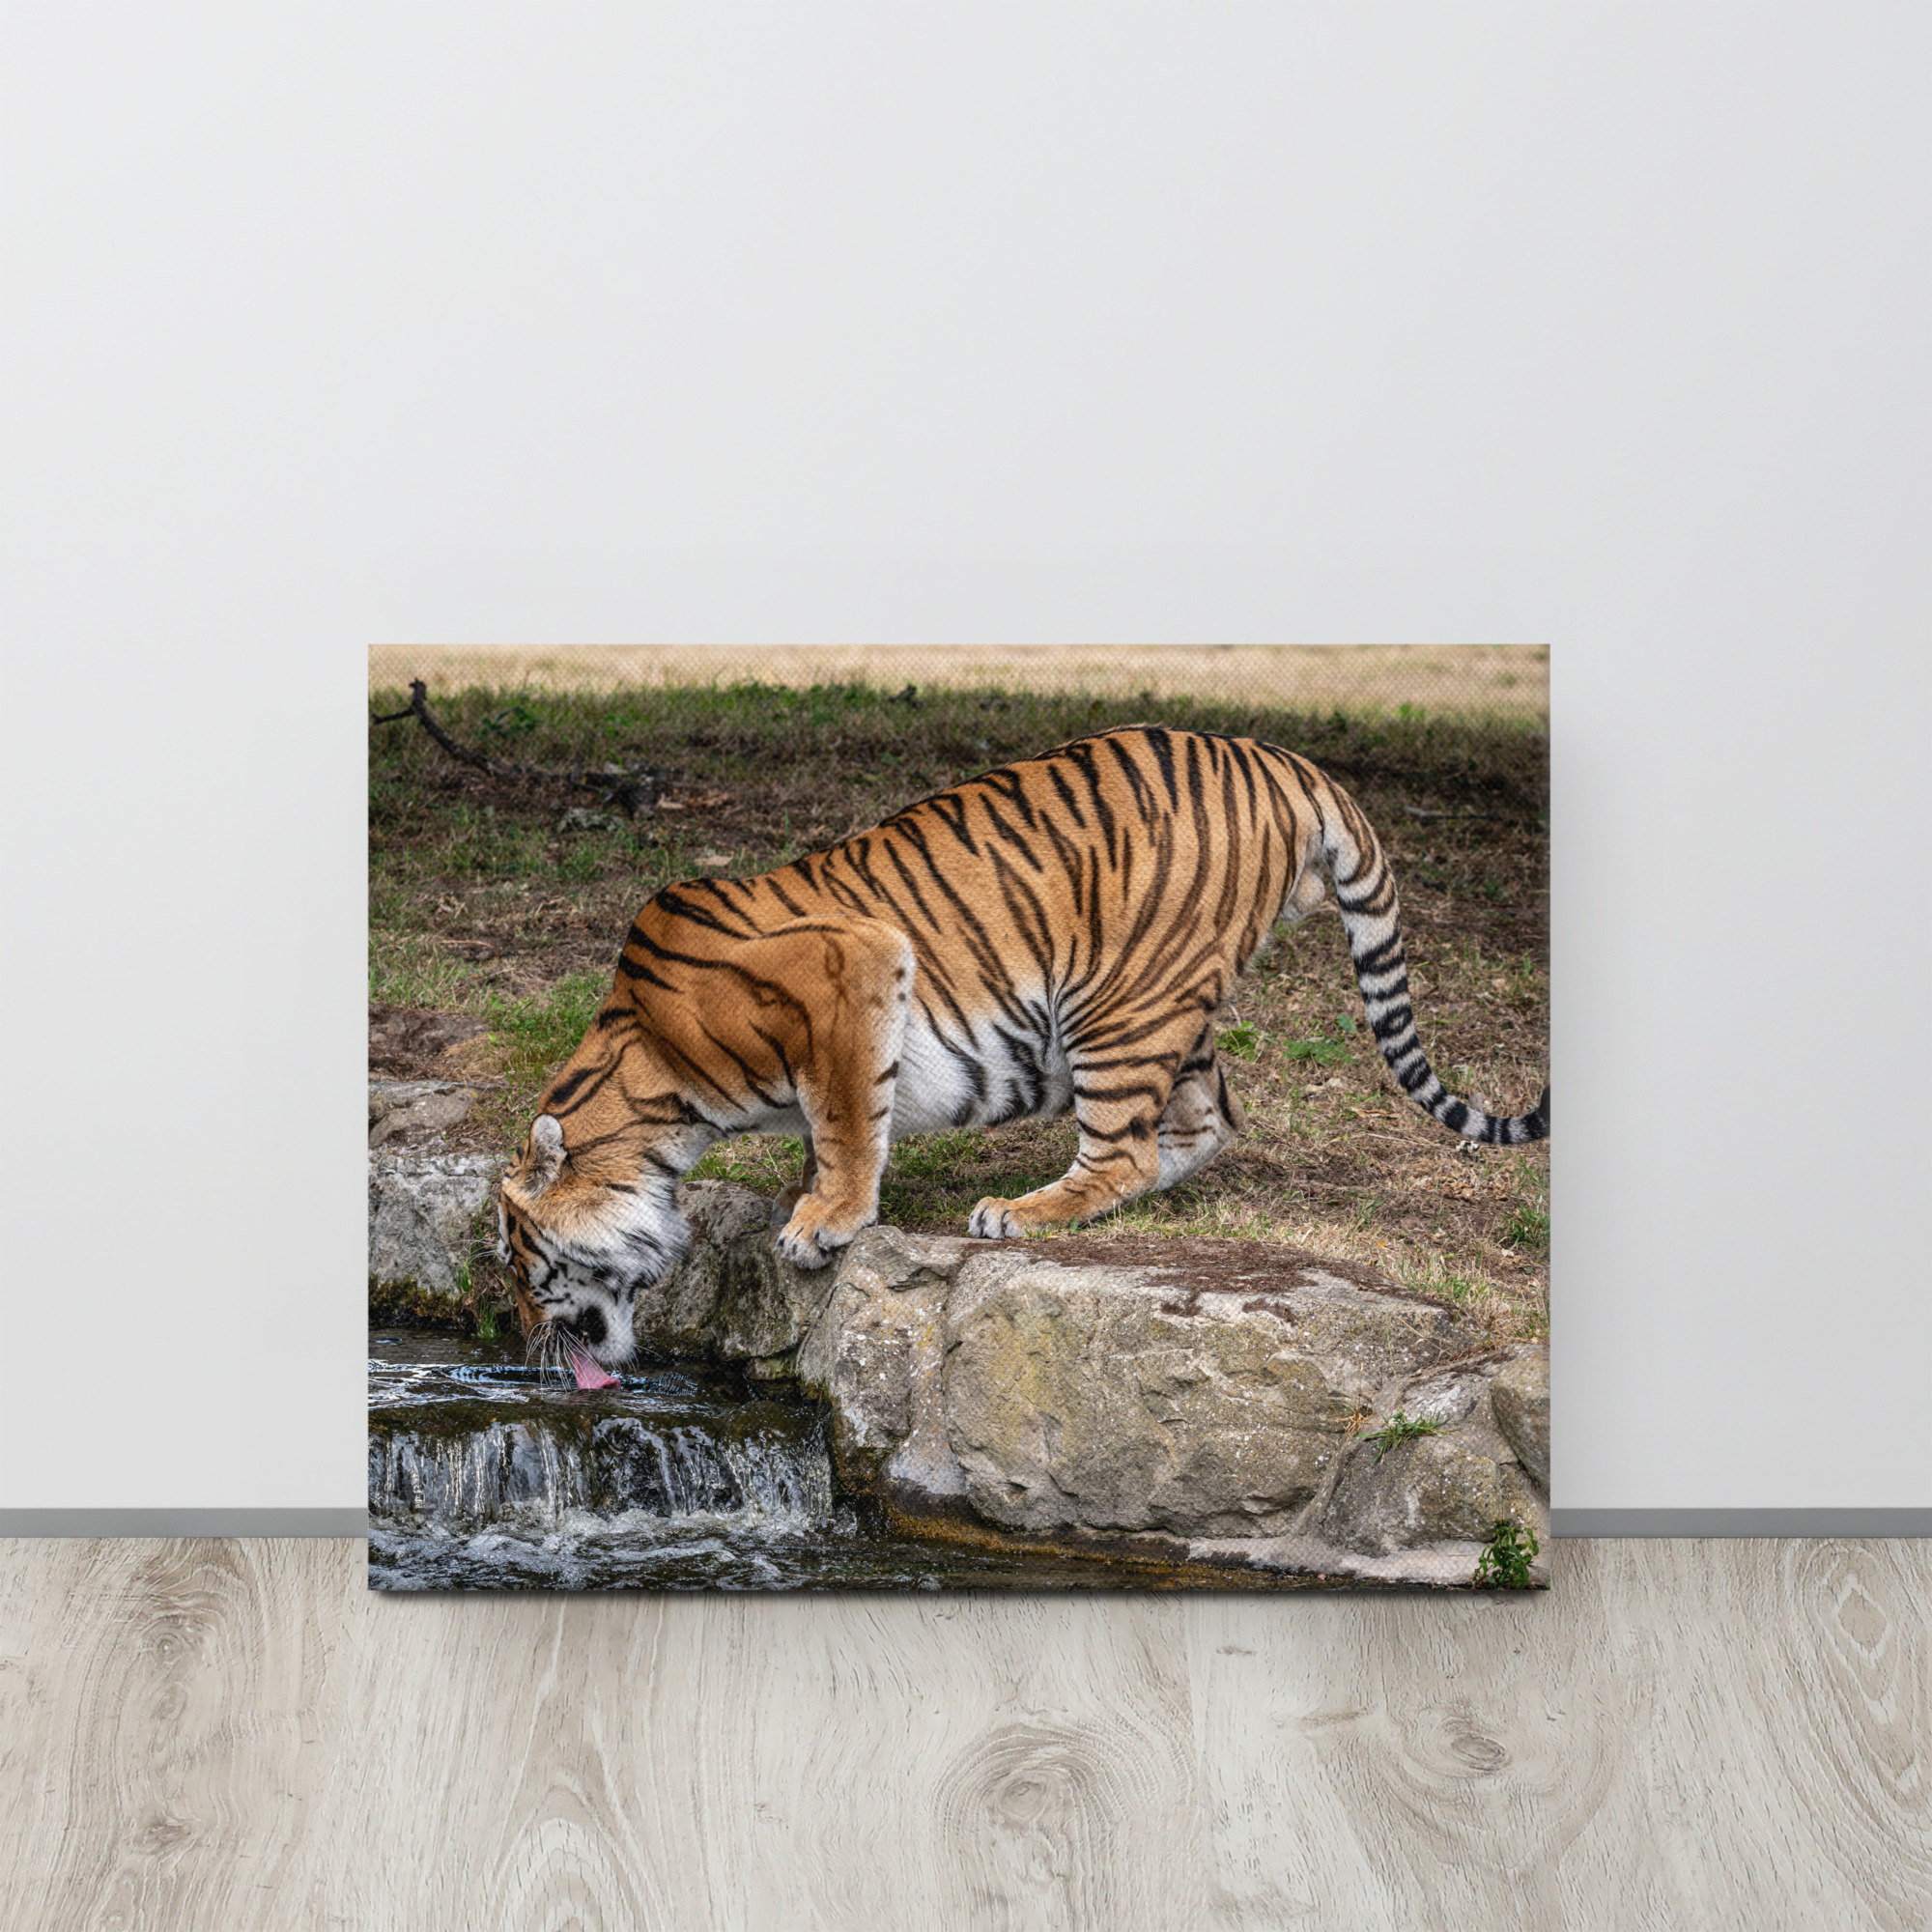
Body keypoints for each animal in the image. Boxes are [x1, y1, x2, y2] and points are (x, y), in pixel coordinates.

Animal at [497, 725, 1548, 1379]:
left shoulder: (853, 966)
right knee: (1207, 1119)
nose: (521, 1342)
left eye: (518, 1260)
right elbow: (832, 1125)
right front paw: (809, 1200)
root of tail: (1284, 758)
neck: (652, 1084)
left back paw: (1020, 1211)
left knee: (1123, 1149)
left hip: (1112, 1002)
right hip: (1168, 1002)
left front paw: (823, 1222)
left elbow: (845, 1119)